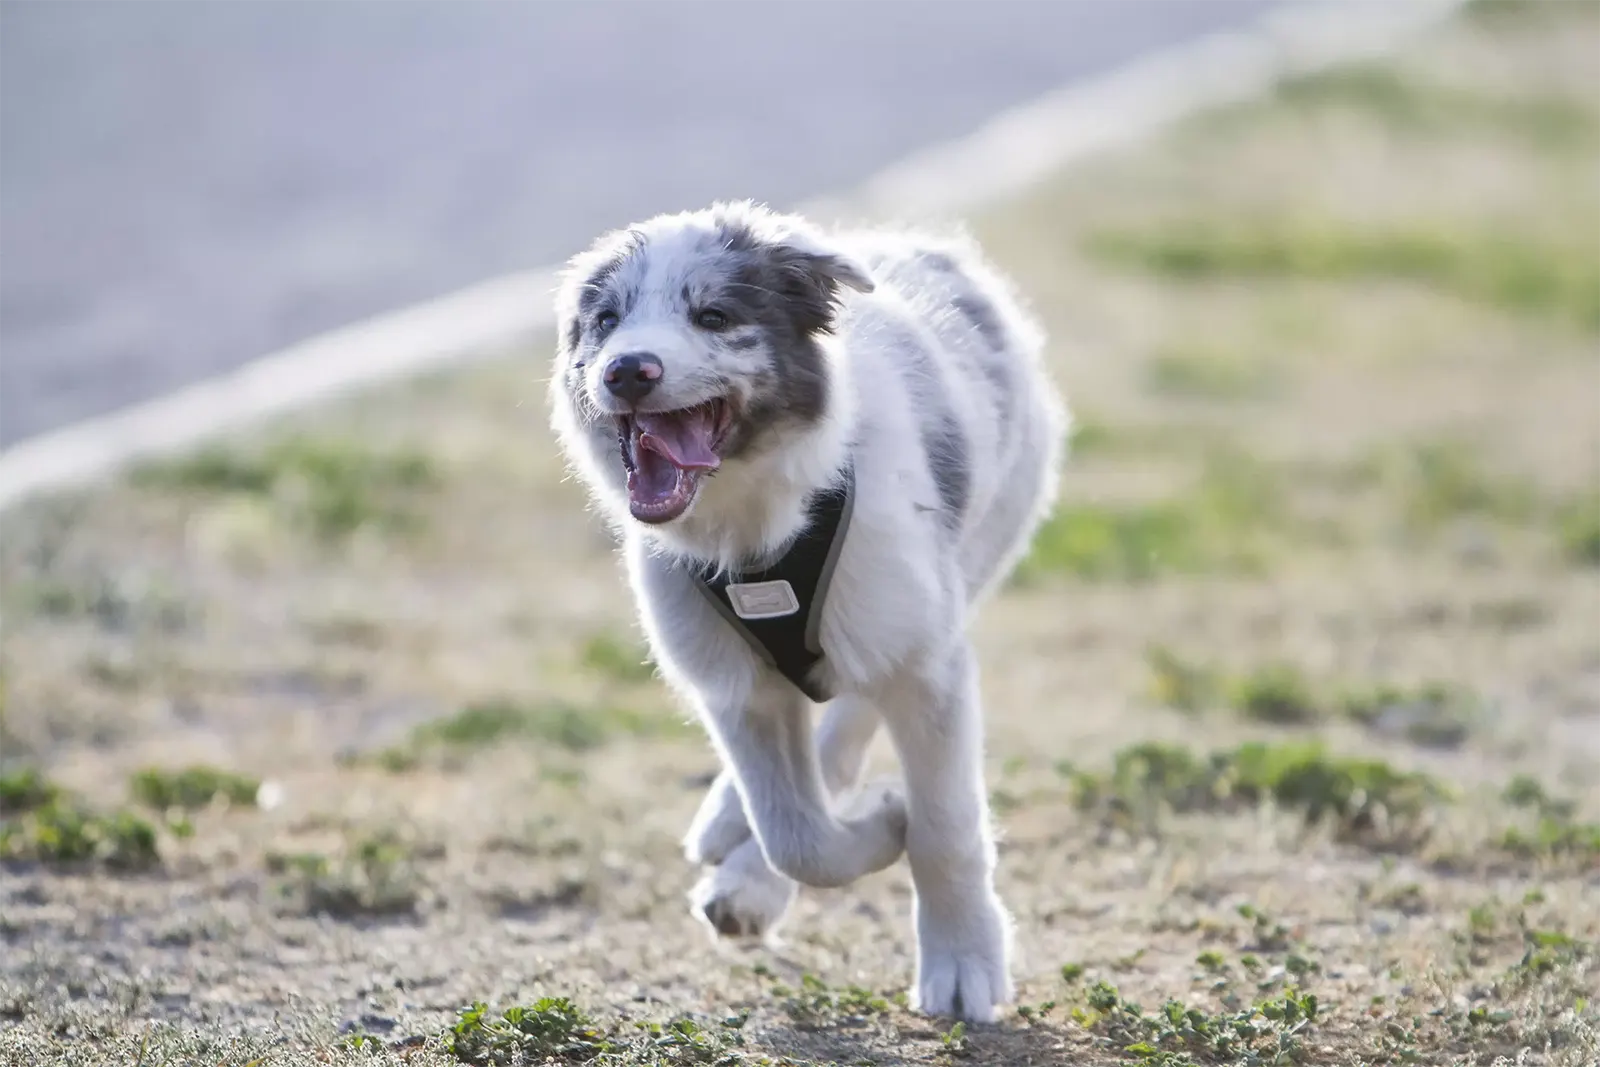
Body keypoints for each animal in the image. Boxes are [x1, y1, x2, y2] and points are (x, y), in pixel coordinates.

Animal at [547, 195, 1062, 1023]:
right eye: (606, 321)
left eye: (715, 315)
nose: (628, 370)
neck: (757, 528)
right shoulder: (735, 684)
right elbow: (795, 833)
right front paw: (872, 830)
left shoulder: (925, 658)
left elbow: (944, 827)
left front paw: (961, 960)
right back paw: (734, 844)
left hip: (966, 560)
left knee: (849, 724)